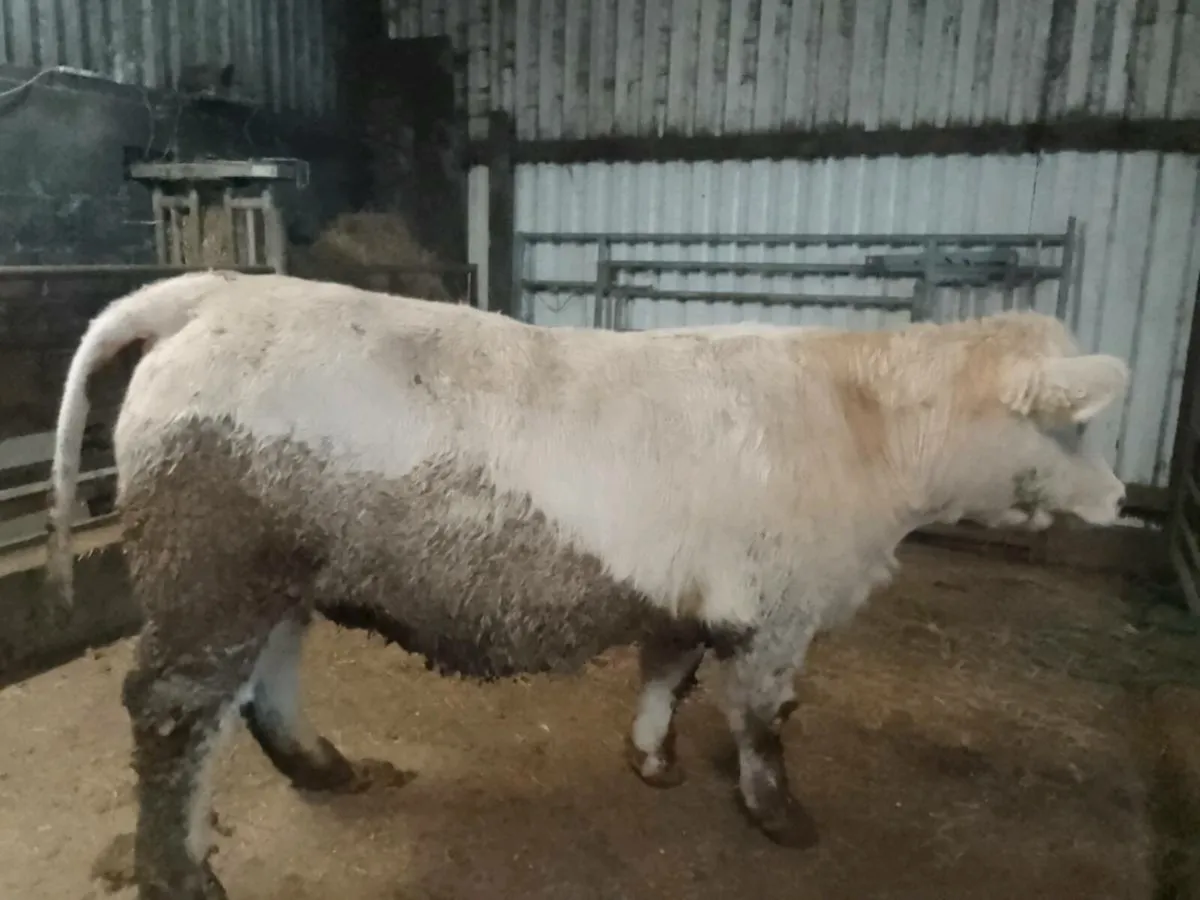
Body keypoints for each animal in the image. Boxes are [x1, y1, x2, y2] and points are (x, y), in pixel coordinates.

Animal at [47, 271, 1128, 900]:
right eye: (1073, 427)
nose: (1120, 497)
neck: (866, 430)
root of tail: (209, 294)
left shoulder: (694, 593)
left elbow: (668, 673)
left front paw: (653, 763)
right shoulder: (780, 608)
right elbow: (765, 718)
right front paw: (784, 821)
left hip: (276, 574)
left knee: (262, 686)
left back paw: (330, 770)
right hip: (209, 567)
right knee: (173, 713)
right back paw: (183, 877)